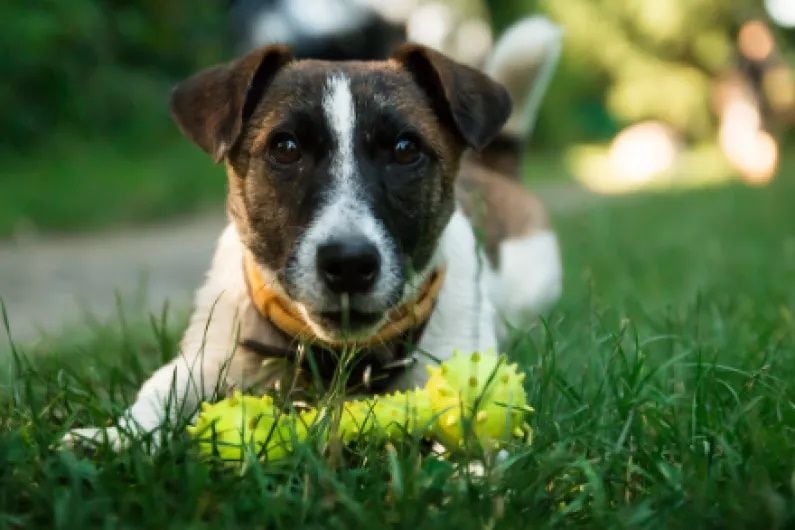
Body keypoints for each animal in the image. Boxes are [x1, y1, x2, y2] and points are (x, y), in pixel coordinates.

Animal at [65, 18, 564, 448]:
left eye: (406, 149)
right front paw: (114, 437)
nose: (349, 263)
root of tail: (494, 166)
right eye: (286, 147)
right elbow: (155, 394)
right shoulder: (203, 361)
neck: (336, 356)